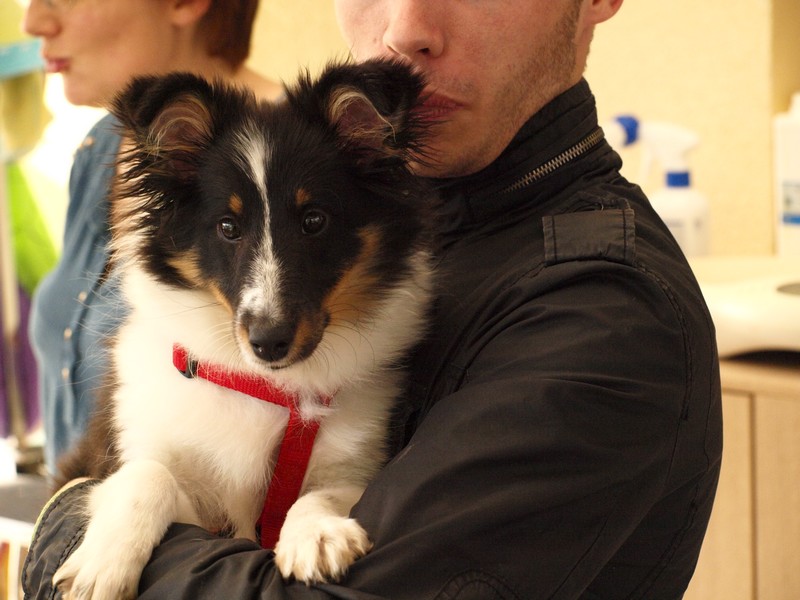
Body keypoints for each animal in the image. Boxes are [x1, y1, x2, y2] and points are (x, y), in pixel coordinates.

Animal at [52, 59, 436, 600]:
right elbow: (148, 474)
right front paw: (100, 566)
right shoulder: (117, 458)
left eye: (314, 220)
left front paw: (317, 534)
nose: (268, 341)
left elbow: (329, 493)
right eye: (228, 228)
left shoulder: (355, 462)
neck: (260, 387)